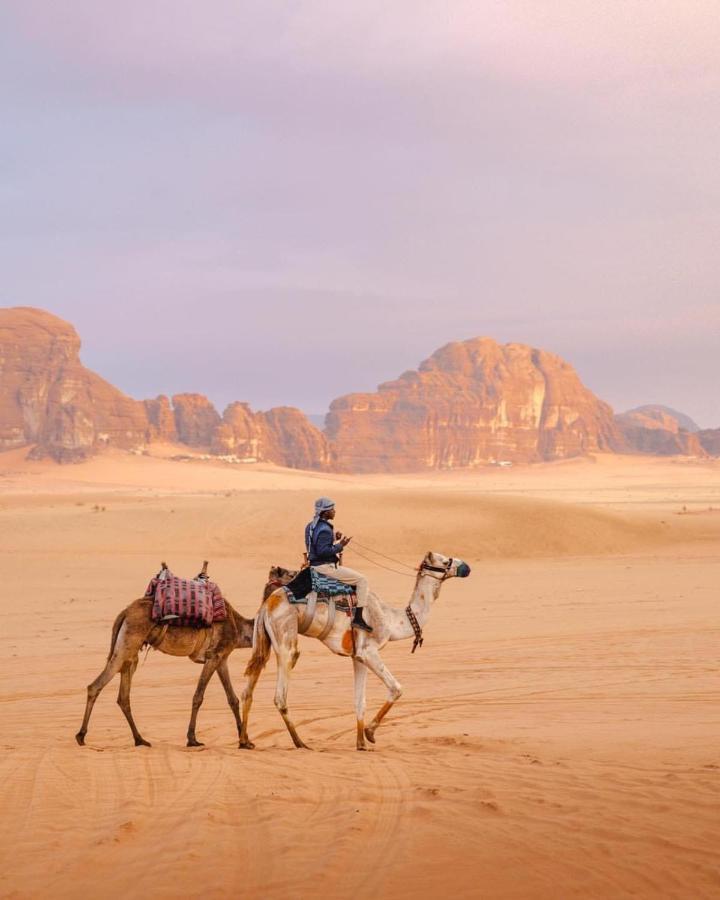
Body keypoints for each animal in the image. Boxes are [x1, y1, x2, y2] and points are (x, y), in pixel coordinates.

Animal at [75, 568, 296, 748]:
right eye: (290, 574)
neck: (240, 628)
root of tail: (124, 613)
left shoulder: (221, 658)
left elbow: (232, 699)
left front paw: (246, 741)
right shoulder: (214, 656)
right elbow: (198, 696)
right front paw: (192, 739)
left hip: (131, 650)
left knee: (123, 695)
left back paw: (140, 740)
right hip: (128, 642)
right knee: (96, 685)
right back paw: (81, 736)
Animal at [239, 552, 470, 748]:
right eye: (446, 561)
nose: (466, 567)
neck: (391, 620)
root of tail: (267, 605)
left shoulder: (357, 657)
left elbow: (360, 701)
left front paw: (361, 744)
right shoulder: (369, 651)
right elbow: (396, 688)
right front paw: (370, 733)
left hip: (264, 639)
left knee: (249, 687)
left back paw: (245, 741)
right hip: (286, 636)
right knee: (281, 692)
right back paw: (300, 742)